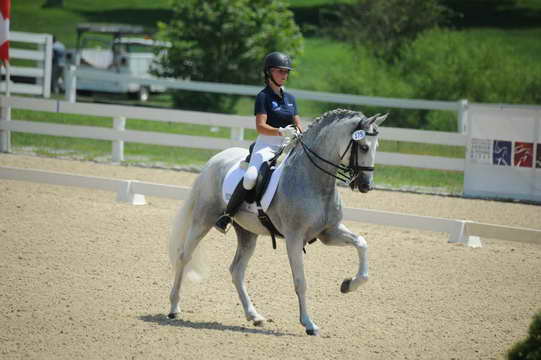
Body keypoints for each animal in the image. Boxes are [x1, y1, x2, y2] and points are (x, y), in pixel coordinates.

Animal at [167, 109, 386, 334]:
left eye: (377, 146)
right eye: (364, 146)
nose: (366, 186)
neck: (313, 180)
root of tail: (216, 159)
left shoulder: (329, 232)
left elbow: (361, 243)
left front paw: (348, 284)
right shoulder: (294, 239)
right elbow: (300, 281)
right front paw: (308, 324)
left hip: (247, 233)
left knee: (237, 270)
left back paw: (254, 316)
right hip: (203, 219)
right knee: (184, 256)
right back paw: (174, 308)